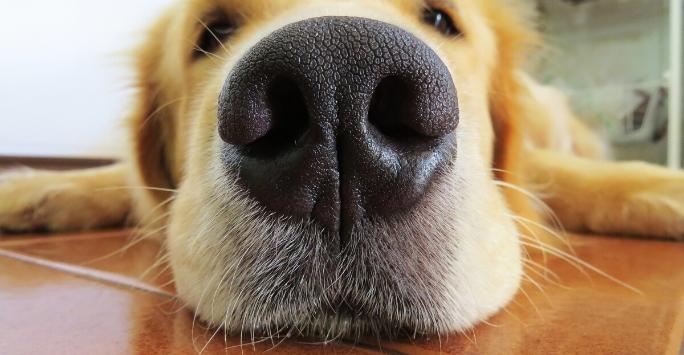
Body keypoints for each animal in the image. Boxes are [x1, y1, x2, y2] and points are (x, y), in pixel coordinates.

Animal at [1, 0, 684, 340]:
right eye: (213, 31)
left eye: (441, 18)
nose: (338, 86)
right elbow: (120, 179)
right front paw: (35, 187)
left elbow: (578, 179)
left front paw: (664, 188)